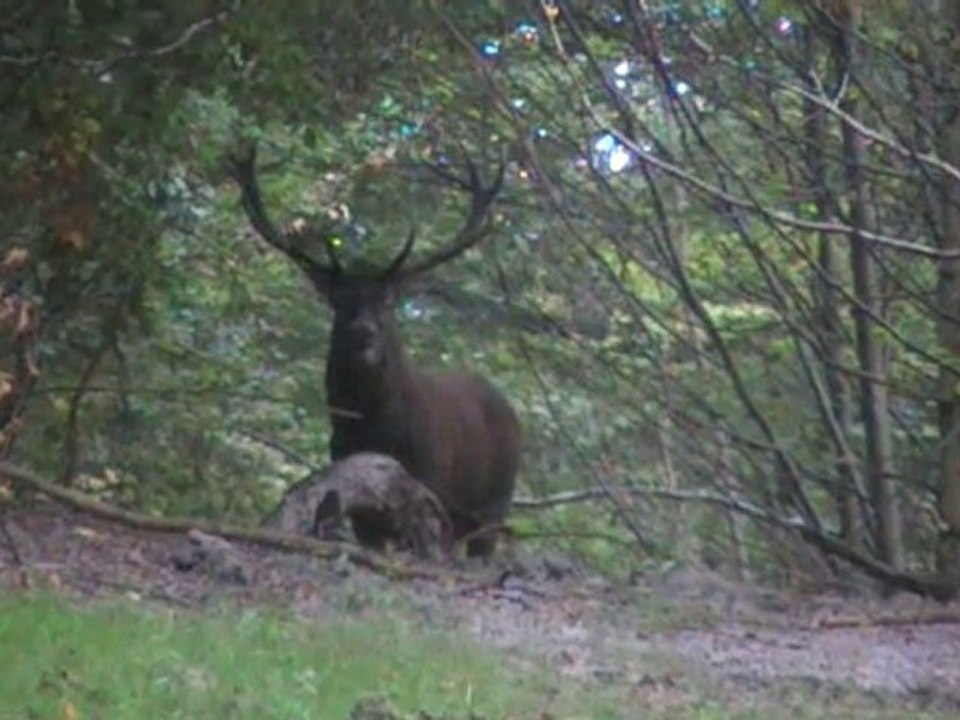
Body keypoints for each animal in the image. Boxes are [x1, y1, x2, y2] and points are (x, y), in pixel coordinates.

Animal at [227, 145, 520, 557]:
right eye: (340, 301)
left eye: (386, 302)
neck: (374, 428)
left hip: (495, 500)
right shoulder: (351, 478)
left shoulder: (433, 482)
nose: (363, 335)